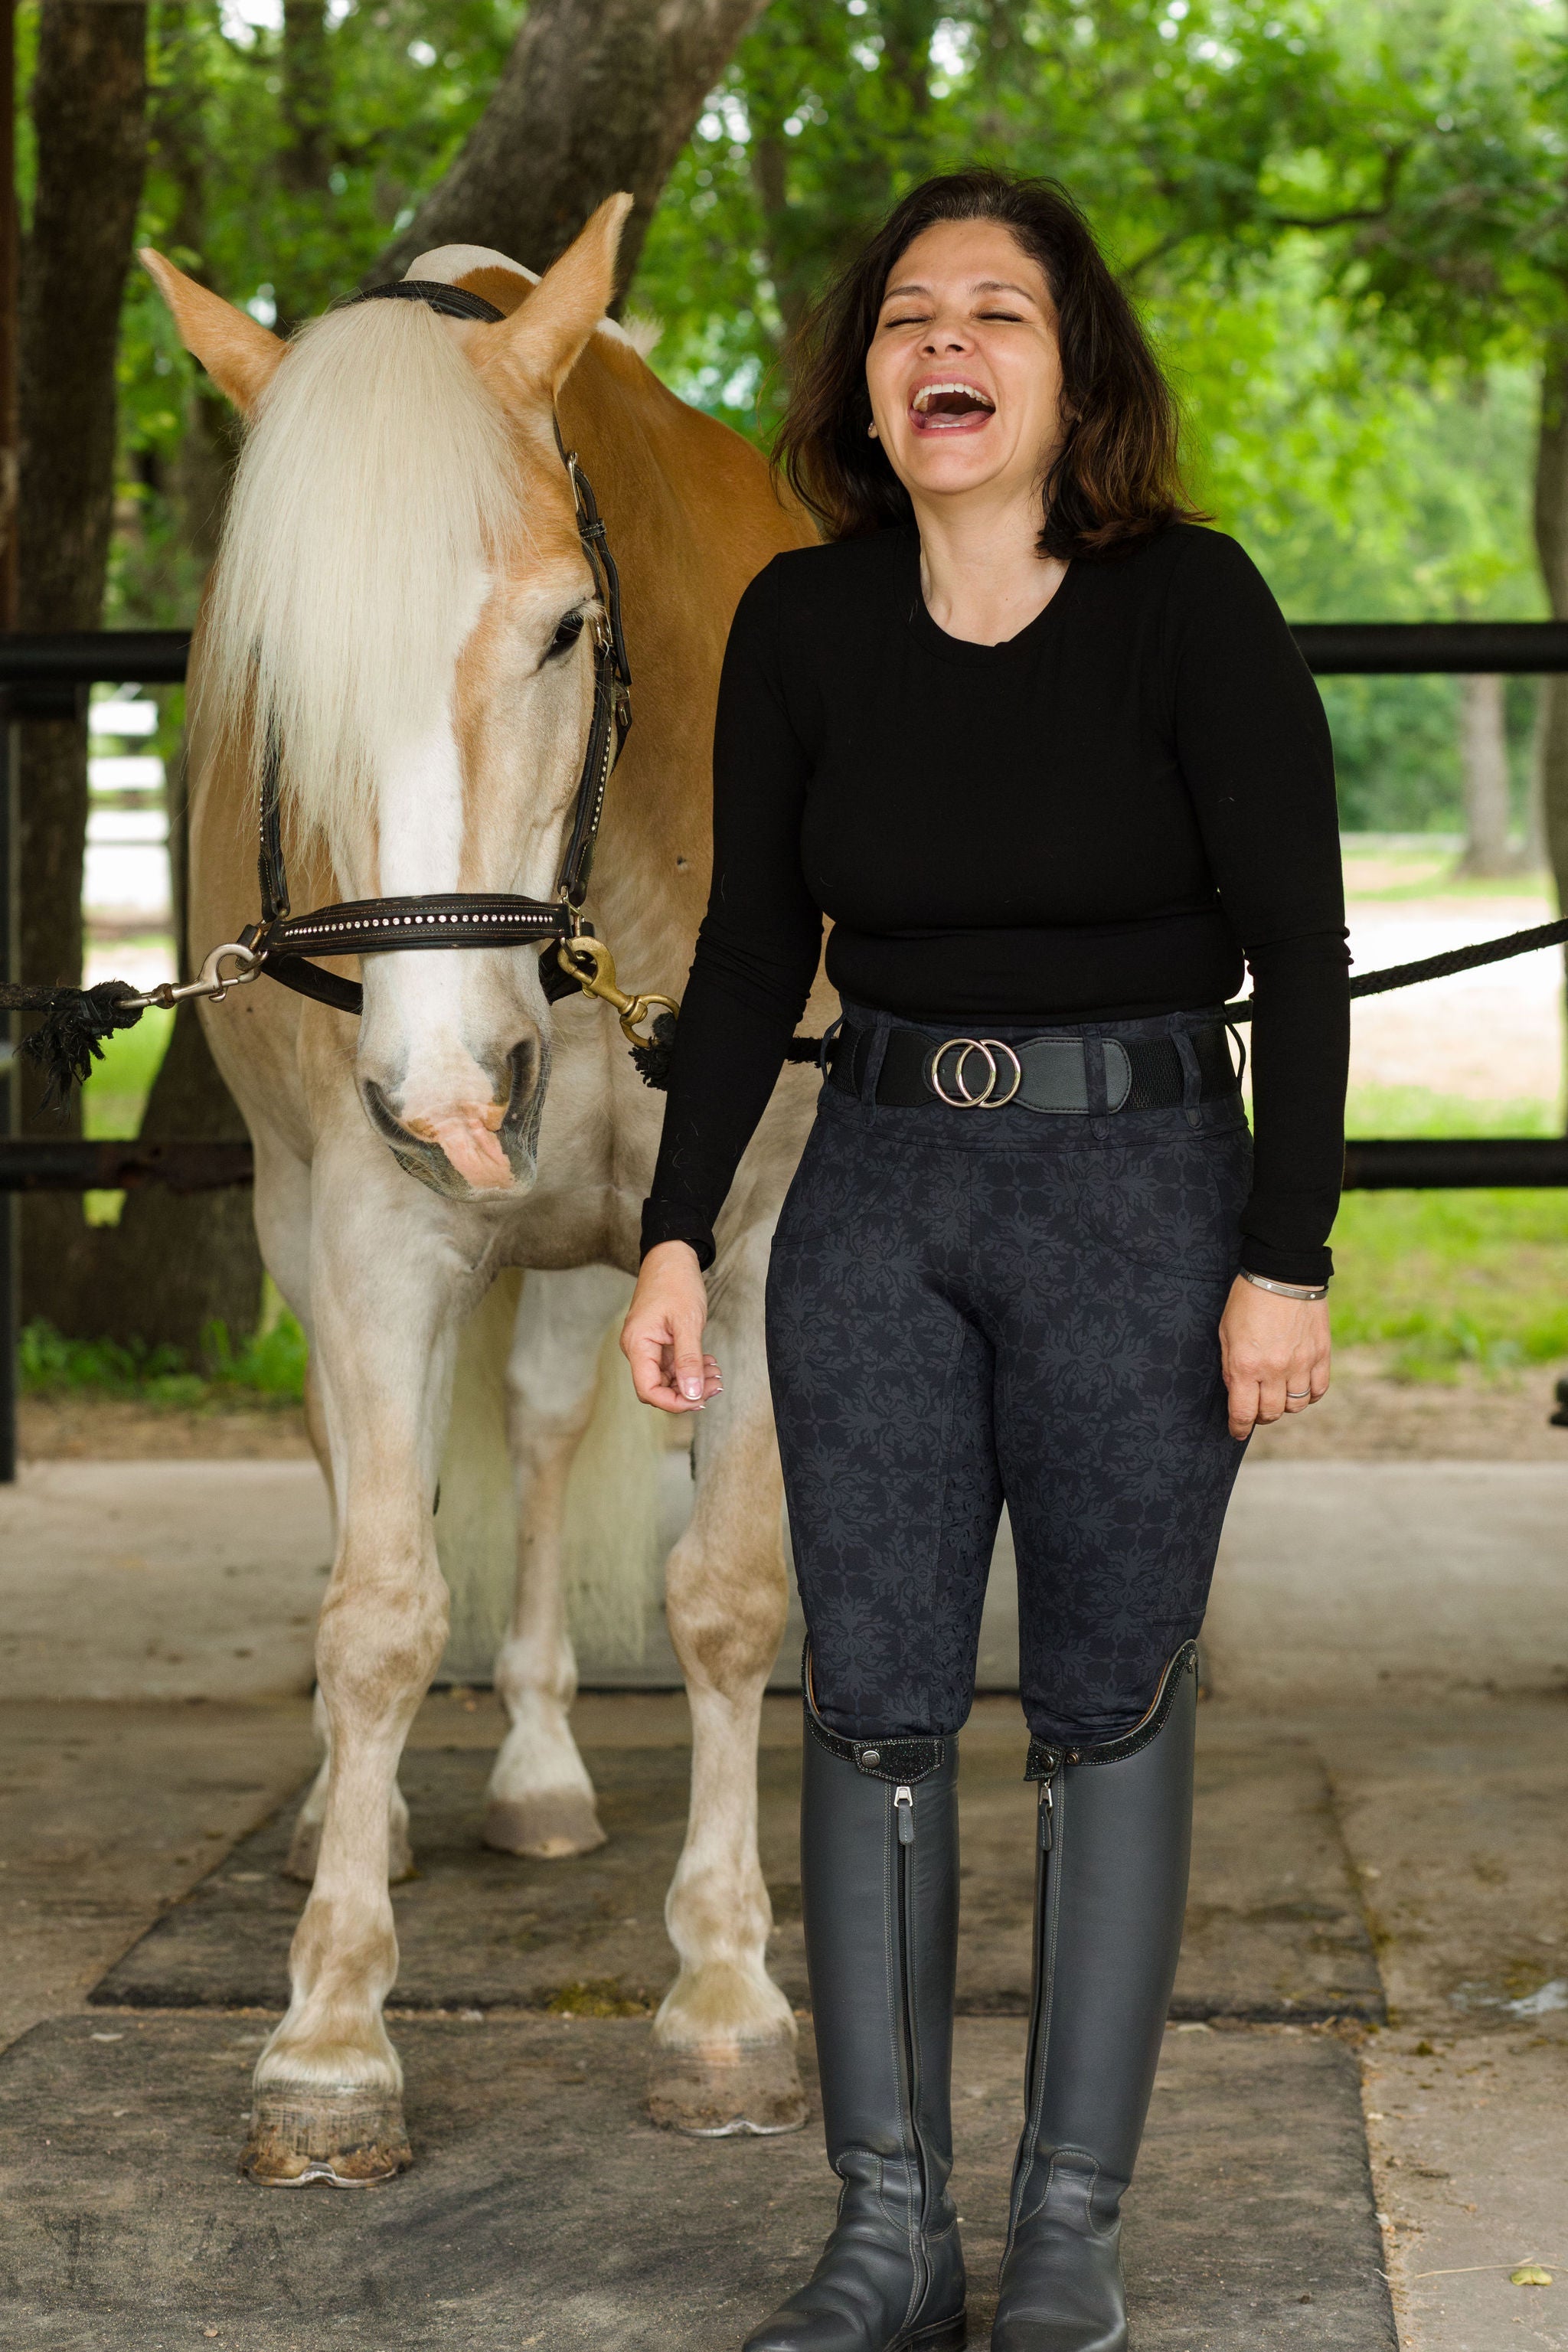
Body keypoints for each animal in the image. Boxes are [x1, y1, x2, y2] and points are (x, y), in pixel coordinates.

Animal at [142, 198, 827, 2182]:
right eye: (278, 683)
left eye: (562, 629)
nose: (452, 1096)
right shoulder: (377, 1240)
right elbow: (376, 1612)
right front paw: (327, 2038)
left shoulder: (751, 1239)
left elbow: (725, 1593)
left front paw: (724, 1998)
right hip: (318, 1222)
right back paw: (347, 1814)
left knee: (530, 1433)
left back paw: (536, 1767)